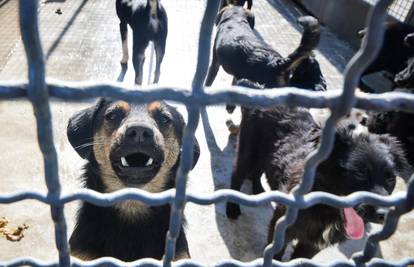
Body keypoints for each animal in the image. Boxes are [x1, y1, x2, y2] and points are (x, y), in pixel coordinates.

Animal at [226, 80, 410, 260]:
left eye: (390, 179)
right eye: (359, 173)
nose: (383, 214)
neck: (325, 208)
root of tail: (262, 89)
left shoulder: (312, 245)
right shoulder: (281, 228)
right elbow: (276, 254)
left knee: (258, 171)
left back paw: (258, 190)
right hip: (247, 153)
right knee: (237, 177)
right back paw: (232, 208)